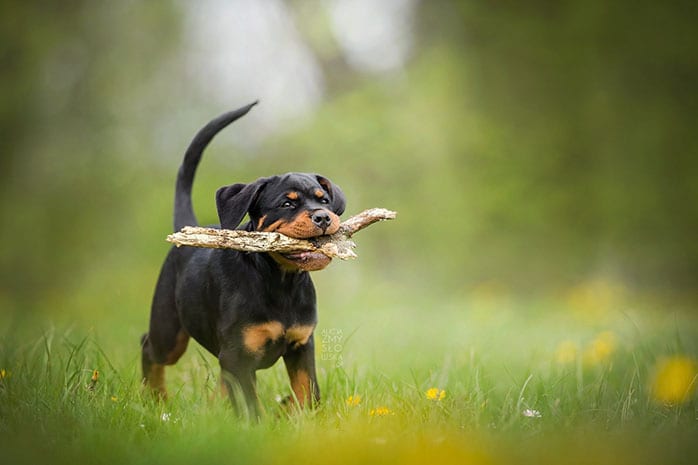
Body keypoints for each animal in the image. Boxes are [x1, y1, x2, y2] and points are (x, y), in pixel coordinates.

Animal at [141, 100, 346, 416]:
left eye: (323, 199)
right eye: (287, 204)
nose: (323, 217)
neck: (281, 280)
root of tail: (186, 228)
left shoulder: (301, 344)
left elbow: (307, 391)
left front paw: (302, 416)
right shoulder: (238, 355)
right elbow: (251, 405)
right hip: (169, 330)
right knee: (149, 347)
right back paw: (156, 399)